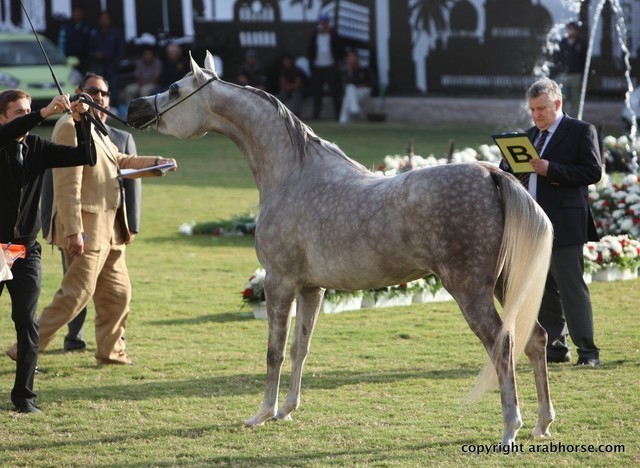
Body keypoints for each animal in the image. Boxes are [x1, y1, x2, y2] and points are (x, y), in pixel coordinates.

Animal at [127, 52, 555, 446]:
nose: (134, 107)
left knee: (503, 345)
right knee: (535, 338)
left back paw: (511, 427)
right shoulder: (311, 288)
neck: (294, 175)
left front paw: (262, 413)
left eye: (175, 89)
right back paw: (542, 423)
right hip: (504, 282)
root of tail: (492, 173)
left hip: (470, 289)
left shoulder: (280, 282)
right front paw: (287, 410)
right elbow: (300, 347)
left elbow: (274, 350)